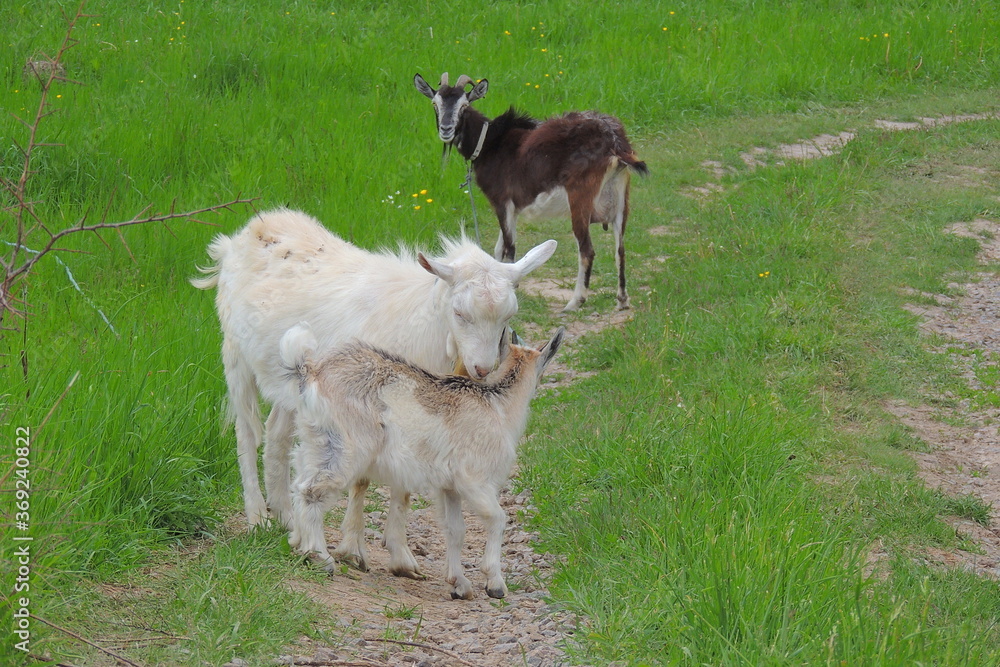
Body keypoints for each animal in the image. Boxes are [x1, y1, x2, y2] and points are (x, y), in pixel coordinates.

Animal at [192, 208, 556, 579]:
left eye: (508, 316)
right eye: (460, 313)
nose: (482, 369)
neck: (424, 321)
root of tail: (253, 229)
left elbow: (403, 486)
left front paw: (401, 556)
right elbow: (363, 480)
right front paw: (353, 549)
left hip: (293, 390)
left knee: (278, 434)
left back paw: (285, 517)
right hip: (236, 357)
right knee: (247, 433)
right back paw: (258, 517)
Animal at [281, 322, 564, 600]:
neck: (497, 405)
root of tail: (311, 372)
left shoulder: (449, 488)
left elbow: (456, 530)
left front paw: (459, 585)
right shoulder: (475, 481)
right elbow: (497, 518)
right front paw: (495, 584)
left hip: (316, 442)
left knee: (298, 485)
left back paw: (297, 543)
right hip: (346, 449)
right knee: (312, 491)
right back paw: (321, 558)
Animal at [415, 71, 648, 312]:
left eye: (464, 105)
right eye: (435, 104)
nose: (446, 129)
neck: (490, 143)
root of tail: (615, 142)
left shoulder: (502, 201)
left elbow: (509, 247)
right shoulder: (513, 208)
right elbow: (499, 248)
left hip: (580, 196)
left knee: (587, 250)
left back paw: (575, 301)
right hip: (620, 194)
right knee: (620, 248)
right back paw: (622, 299)